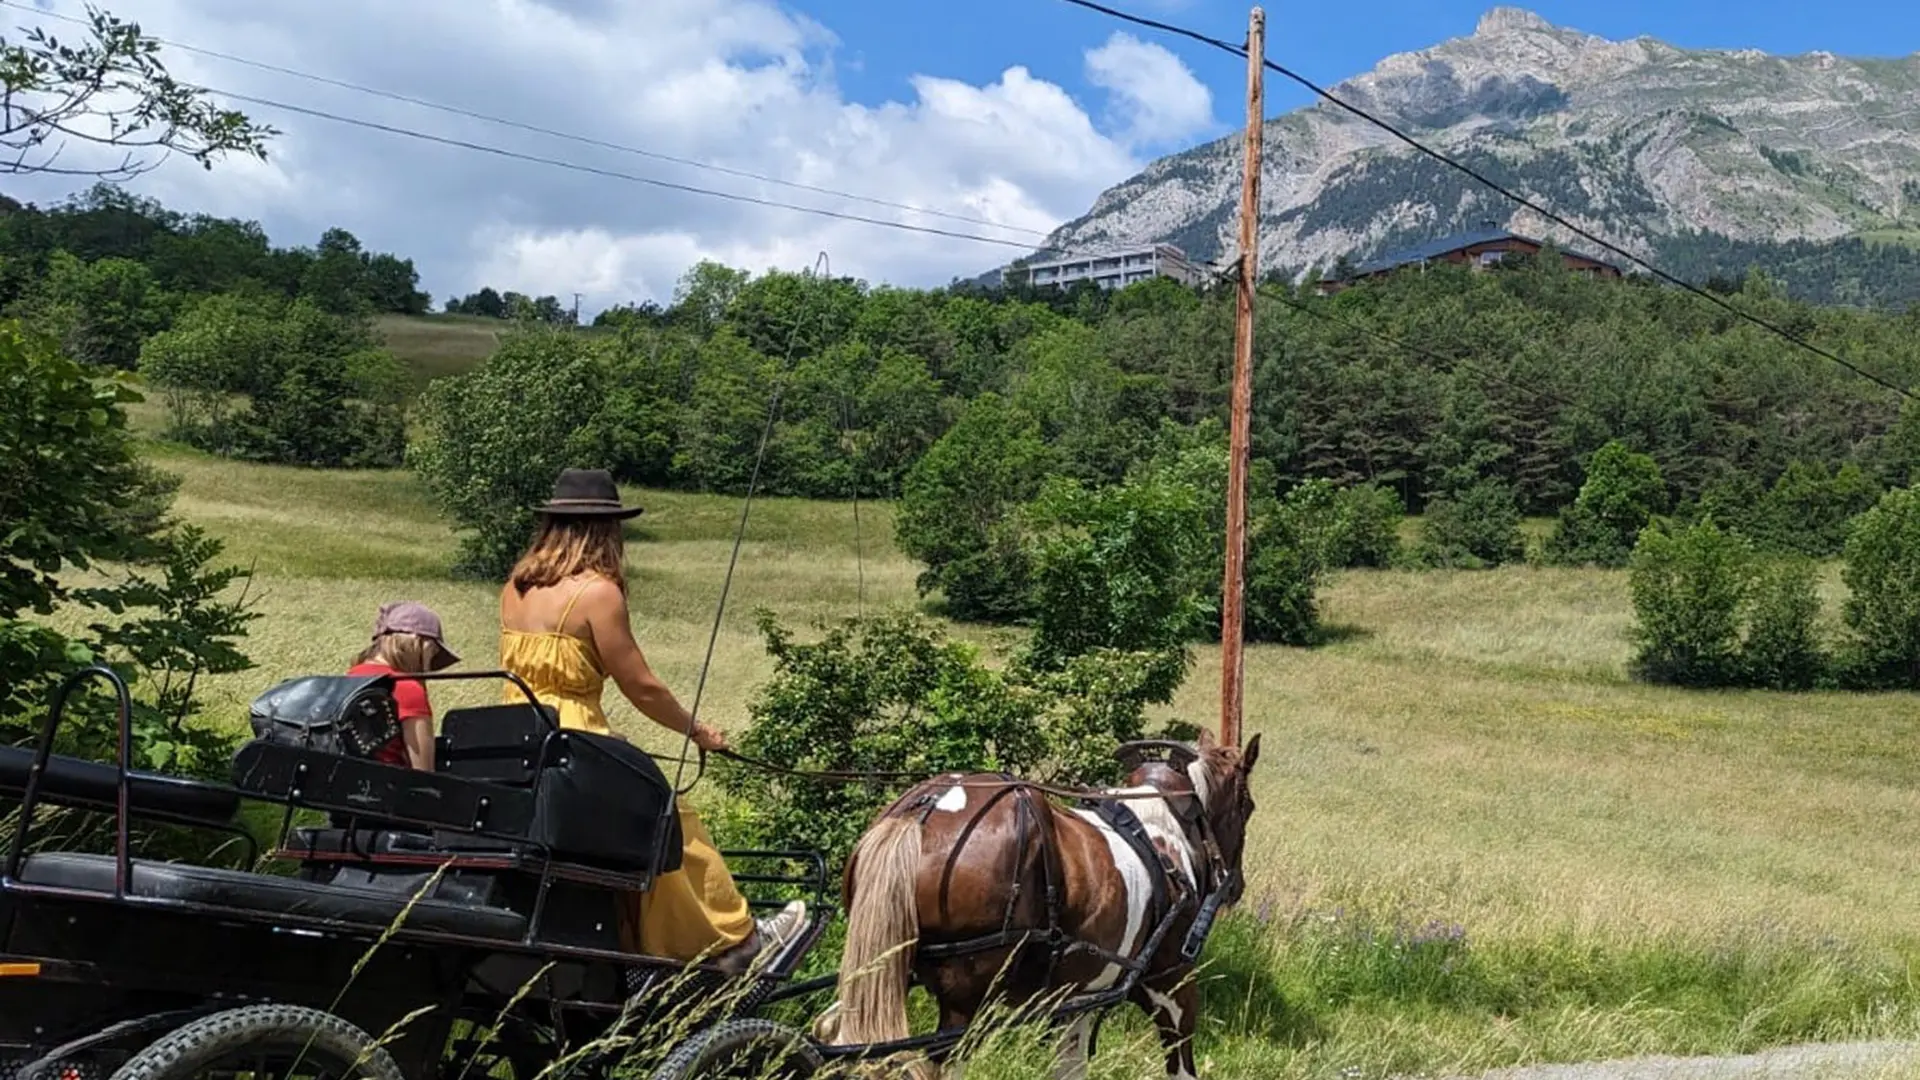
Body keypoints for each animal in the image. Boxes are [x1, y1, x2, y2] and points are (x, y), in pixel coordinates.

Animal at [821, 726, 1259, 1068]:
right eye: (1248, 805)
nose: (1235, 885)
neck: (1164, 828)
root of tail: (924, 808)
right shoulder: (1170, 983)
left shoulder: (1079, 999)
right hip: (965, 1002)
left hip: (882, 967)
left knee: (834, 1029)